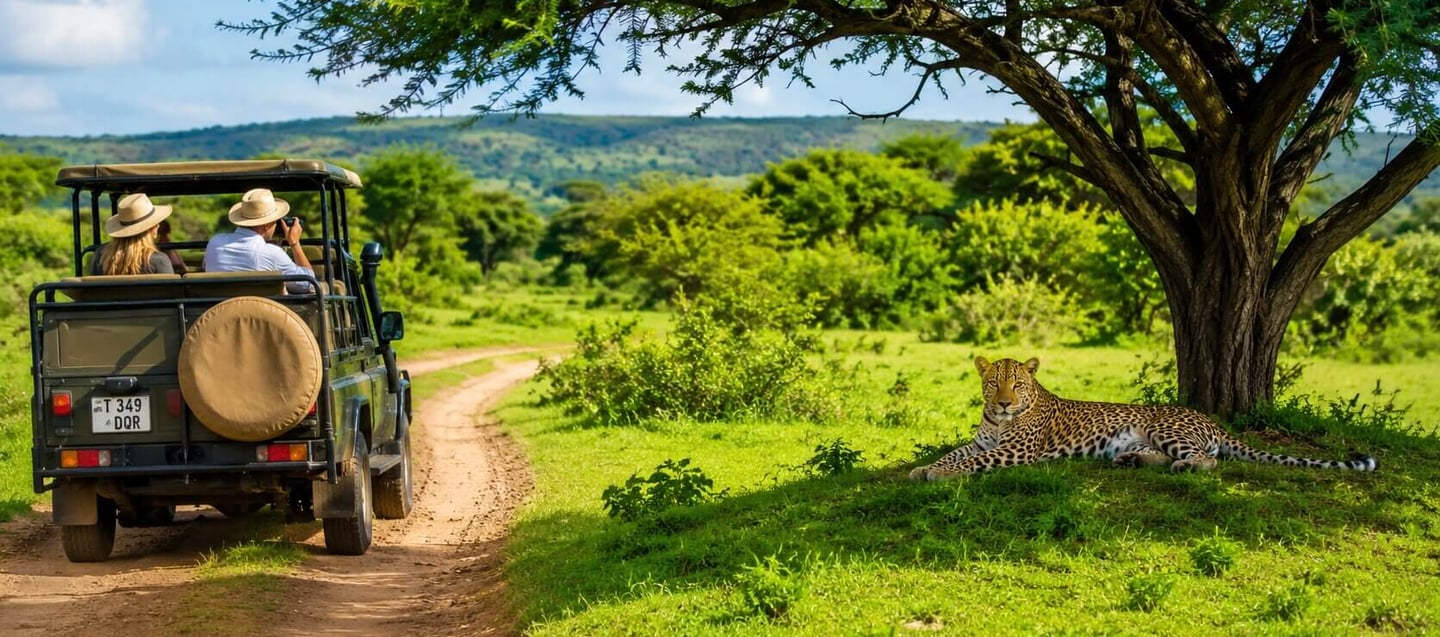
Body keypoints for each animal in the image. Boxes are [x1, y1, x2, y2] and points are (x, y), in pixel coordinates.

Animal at [909, 356, 1378, 480]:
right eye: (993, 384)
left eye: (1018, 385)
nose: (1005, 403)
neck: (1000, 422)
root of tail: (1212, 420)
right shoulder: (982, 440)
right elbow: (957, 453)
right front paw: (924, 468)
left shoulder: (1015, 453)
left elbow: (974, 462)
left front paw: (938, 474)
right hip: (1139, 436)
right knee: (1160, 456)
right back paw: (1130, 460)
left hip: (1163, 427)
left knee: (1210, 460)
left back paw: (1185, 467)